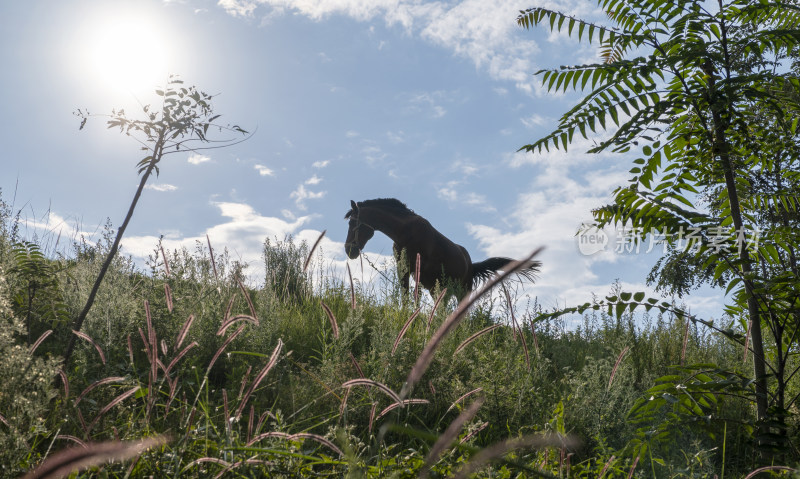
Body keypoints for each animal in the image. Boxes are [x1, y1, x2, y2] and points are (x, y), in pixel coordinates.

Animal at [342, 198, 536, 296]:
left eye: (352, 222)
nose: (349, 250)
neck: (405, 232)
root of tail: (471, 265)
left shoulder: (417, 269)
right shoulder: (403, 269)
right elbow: (406, 295)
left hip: (463, 291)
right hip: (440, 290)